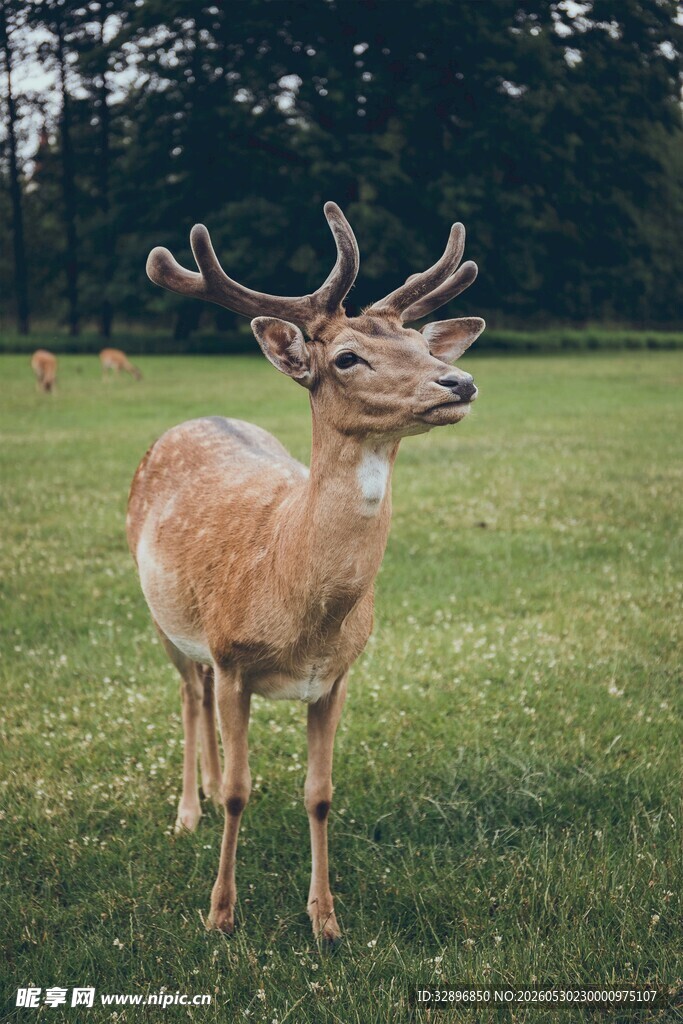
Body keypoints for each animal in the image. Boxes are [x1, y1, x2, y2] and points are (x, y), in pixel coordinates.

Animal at [127, 202, 484, 943]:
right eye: (346, 357)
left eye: (425, 347)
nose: (459, 381)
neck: (298, 602)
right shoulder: (235, 656)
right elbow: (242, 793)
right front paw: (220, 915)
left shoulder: (337, 676)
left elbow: (319, 795)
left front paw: (325, 921)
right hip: (162, 621)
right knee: (189, 694)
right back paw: (188, 812)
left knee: (201, 695)